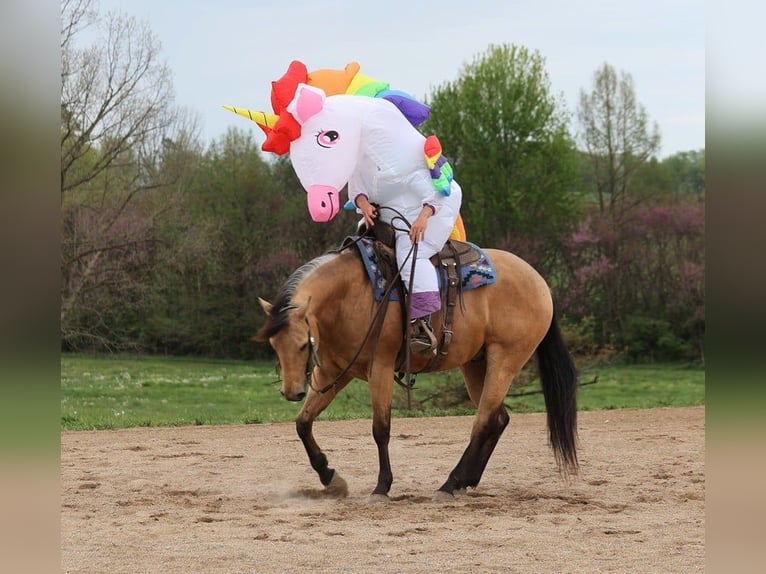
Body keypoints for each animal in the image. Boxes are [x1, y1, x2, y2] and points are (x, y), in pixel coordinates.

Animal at [255, 243, 580, 500]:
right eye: (273, 344)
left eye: (302, 345)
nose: (292, 392)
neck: (349, 295)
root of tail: (540, 281)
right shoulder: (334, 373)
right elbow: (303, 423)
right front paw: (330, 477)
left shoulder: (380, 368)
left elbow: (380, 429)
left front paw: (382, 487)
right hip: (477, 364)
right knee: (498, 419)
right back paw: (465, 481)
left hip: (505, 360)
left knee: (484, 421)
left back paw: (450, 483)